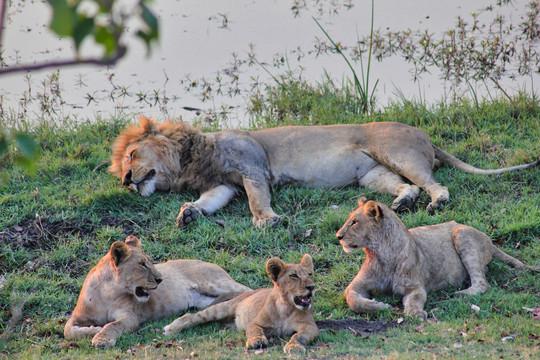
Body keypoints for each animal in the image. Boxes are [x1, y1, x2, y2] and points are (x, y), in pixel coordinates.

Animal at [63, 235, 251, 348]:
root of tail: (210, 262)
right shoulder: (77, 316)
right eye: (142, 264)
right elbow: (68, 330)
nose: (160, 279)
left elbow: (112, 325)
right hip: (204, 299)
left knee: (248, 290)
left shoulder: (130, 317)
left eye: (151, 262)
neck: (107, 292)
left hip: (218, 283)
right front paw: (94, 329)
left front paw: (102, 338)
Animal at [107, 116, 536, 226]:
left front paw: (268, 220)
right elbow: (209, 201)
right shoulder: (224, 185)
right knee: (407, 187)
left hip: (396, 151)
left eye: (132, 155)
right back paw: (400, 205)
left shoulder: (252, 168)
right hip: (371, 174)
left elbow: (258, 199)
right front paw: (188, 213)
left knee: (436, 184)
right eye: (123, 166)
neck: (192, 157)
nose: (127, 182)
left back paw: (435, 205)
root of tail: (425, 135)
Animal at [162, 253, 318, 354]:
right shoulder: (255, 322)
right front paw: (256, 341)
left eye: (310, 274)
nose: (312, 287)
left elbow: (298, 336)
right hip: (222, 308)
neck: (286, 308)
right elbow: (255, 330)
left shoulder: (310, 327)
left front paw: (295, 347)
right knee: (193, 316)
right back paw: (172, 328)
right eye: (294, 276)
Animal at [338, 198, 540, 320]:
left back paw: (459, 294)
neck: (381, 253)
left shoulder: (415, 286)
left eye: (354, 222)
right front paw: (380, 306)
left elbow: (414, 300)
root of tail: (489, 240)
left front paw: (415, 313)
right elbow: (352, 299)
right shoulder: (356, 285)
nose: (338, 236)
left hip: (462, 233)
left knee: (482, 283)